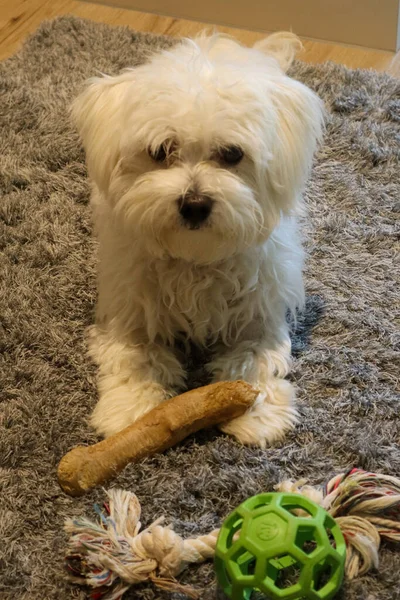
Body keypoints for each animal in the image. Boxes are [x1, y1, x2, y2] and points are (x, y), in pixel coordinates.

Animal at [72, 31, 324, 446]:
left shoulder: (258, 312)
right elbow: (136, 358)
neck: (196, 260)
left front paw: (258, 414)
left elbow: (253, 360)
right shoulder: (131, 307)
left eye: (233, 154)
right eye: (160, 151)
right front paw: (130, 413)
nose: (194, 204)